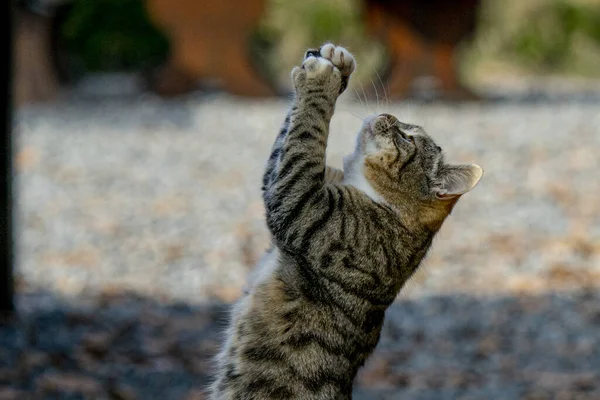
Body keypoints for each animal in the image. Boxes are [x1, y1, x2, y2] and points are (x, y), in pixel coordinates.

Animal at [211, 44, 482, 400]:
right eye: (406, 126)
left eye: (407, 139)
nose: (388, 115)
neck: (388, 207)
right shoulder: (291, 181)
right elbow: (287, 140)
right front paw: (337, 63)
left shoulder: (300, 202)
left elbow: (306, 135)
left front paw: (320, 80)